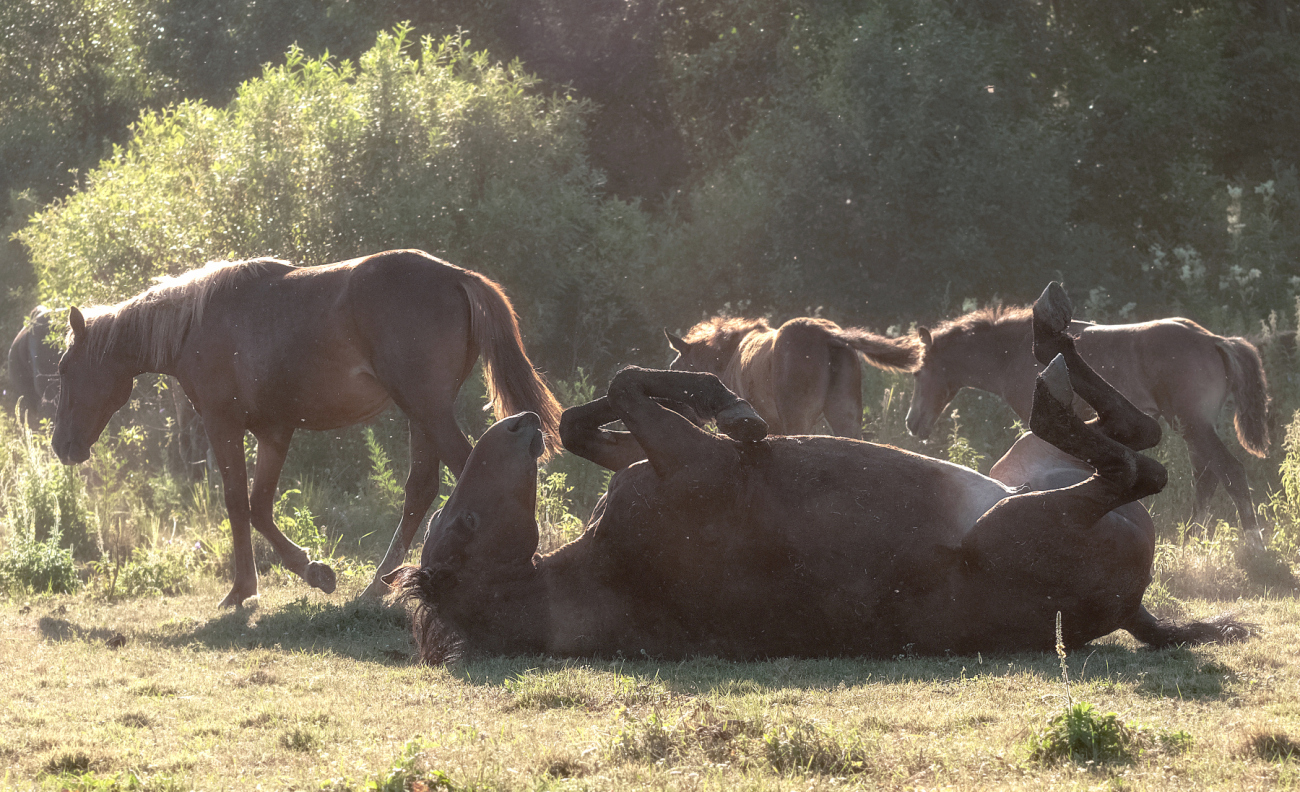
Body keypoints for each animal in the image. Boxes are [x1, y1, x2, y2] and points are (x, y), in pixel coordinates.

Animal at [53, 249, 562, 607]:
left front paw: (244, 589)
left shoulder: (224, 425)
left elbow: (237, 504)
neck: (195, 324)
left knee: (464, 474)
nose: (62, 445)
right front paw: (313, 571)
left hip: (428, 410)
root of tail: (458, 276)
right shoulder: (274, 432)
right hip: (422, 416)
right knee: (421, 490)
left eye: (63, 368)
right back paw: (378, 586)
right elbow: (259, 507)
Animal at [903, 303, 1270, 546]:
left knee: (1230, 471)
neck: (1011, 352)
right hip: (1193, 427)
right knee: (1207, 477)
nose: (912, 423)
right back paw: (1191, 542)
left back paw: (1254, 546)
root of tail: (1215, 340)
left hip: (1193, 424)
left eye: (919, 372)